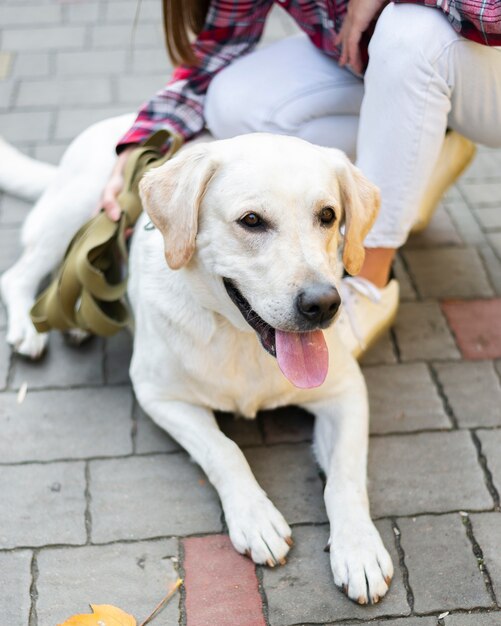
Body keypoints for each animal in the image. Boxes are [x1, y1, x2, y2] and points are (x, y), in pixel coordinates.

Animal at [0, 114, 390, 604]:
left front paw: (358, 548)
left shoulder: (346, 391)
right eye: (251, 221)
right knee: (19, 275)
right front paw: (255, 516)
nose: (323, 304)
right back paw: (28, 328)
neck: (242, 340)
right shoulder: (158, 395)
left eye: (328, 216)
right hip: (77, 209)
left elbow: (346, 476)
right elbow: (224, 451)